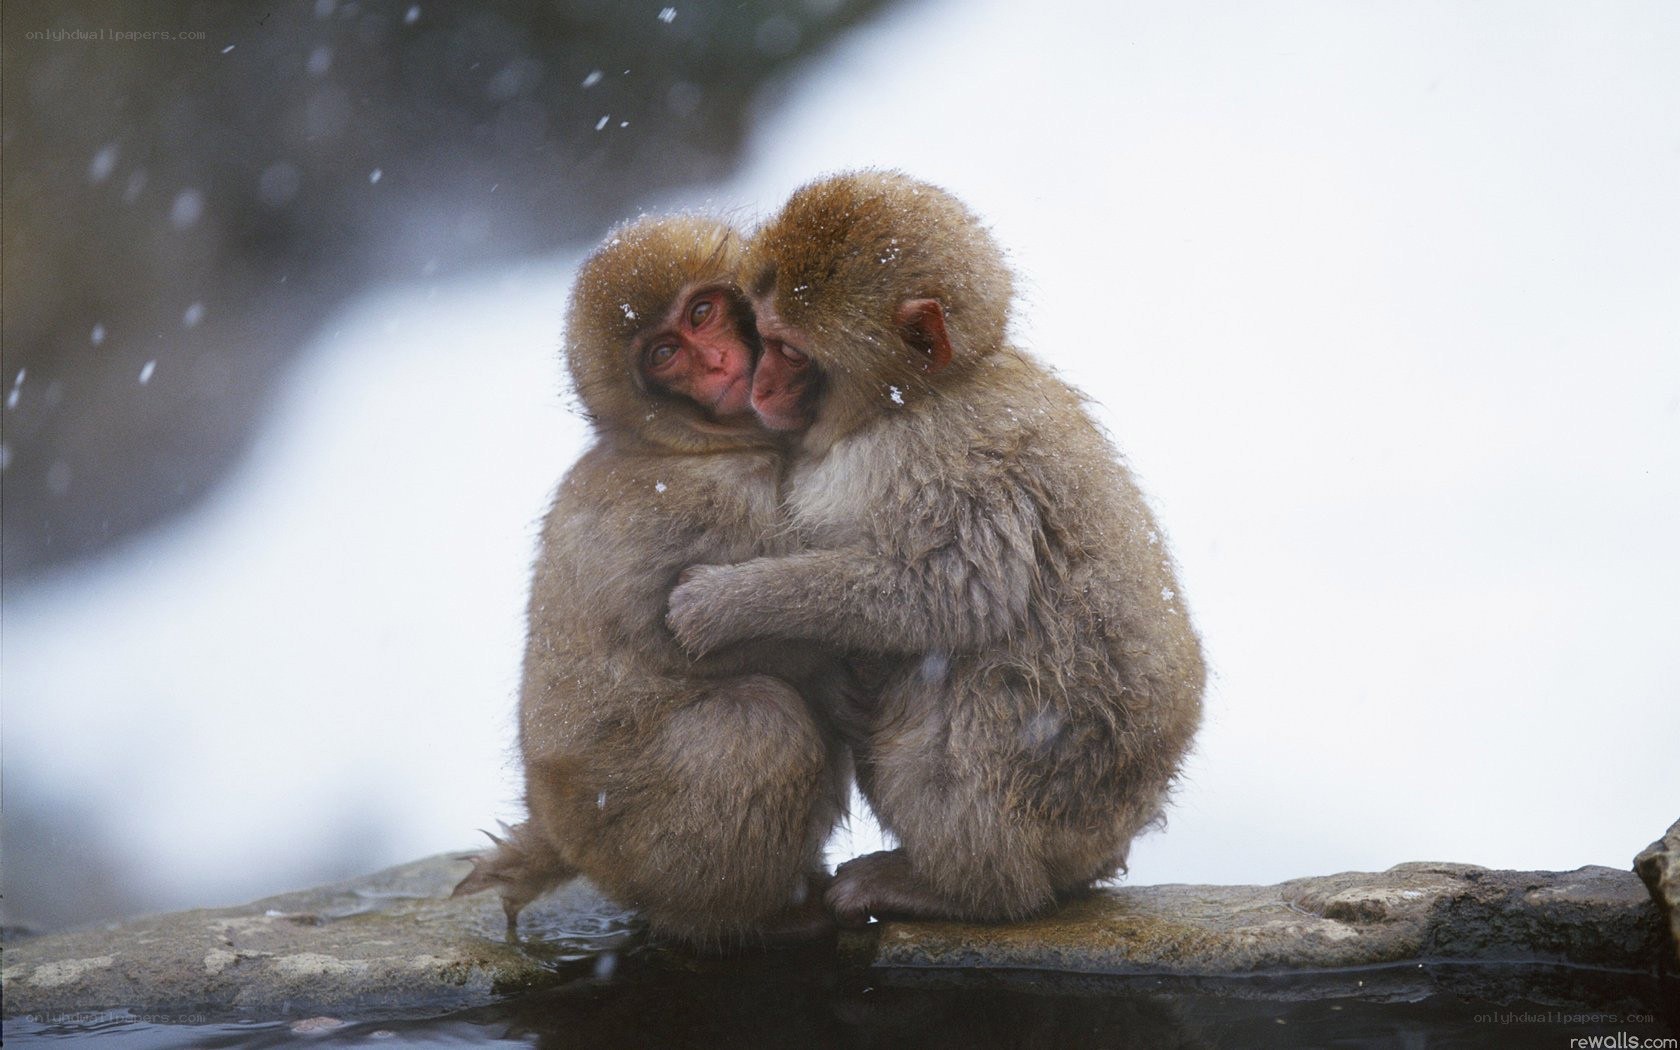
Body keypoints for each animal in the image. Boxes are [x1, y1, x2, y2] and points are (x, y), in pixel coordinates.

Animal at [453, 215, 850, 947]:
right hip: (634, 832)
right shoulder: (717, 501)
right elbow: (728, 634)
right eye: (666, 353)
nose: (717, 364)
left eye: (701, 313)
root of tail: (557, 831)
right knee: (759, 726)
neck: (684, 442)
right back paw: (755, 917)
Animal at [665, 171, 1205, 925]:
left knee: (965, 694)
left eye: (790, 351)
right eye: (760, 337)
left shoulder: (948, 461)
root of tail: (1114, 832)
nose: (759, 385)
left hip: (1048, 790)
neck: (910, 401)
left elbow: (954, 593)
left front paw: (727, 604)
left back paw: (964, 889)